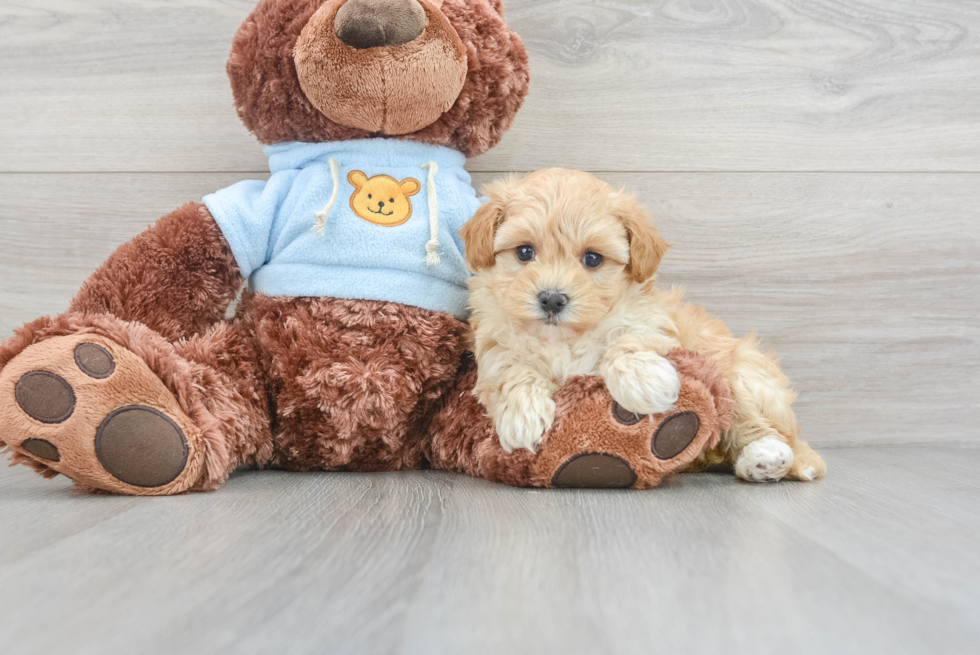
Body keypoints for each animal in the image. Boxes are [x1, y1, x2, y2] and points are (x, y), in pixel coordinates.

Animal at [462, 170, 828, 482]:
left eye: (592, 259)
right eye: (524, 252)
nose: (552, 299)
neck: (564, 340)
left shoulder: (652, 323)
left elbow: (629, 341)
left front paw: (646, 383)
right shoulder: (494, 341)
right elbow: (510, 369)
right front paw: (523, 415)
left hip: (743, 378)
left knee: (764, 428)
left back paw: (765, 457)